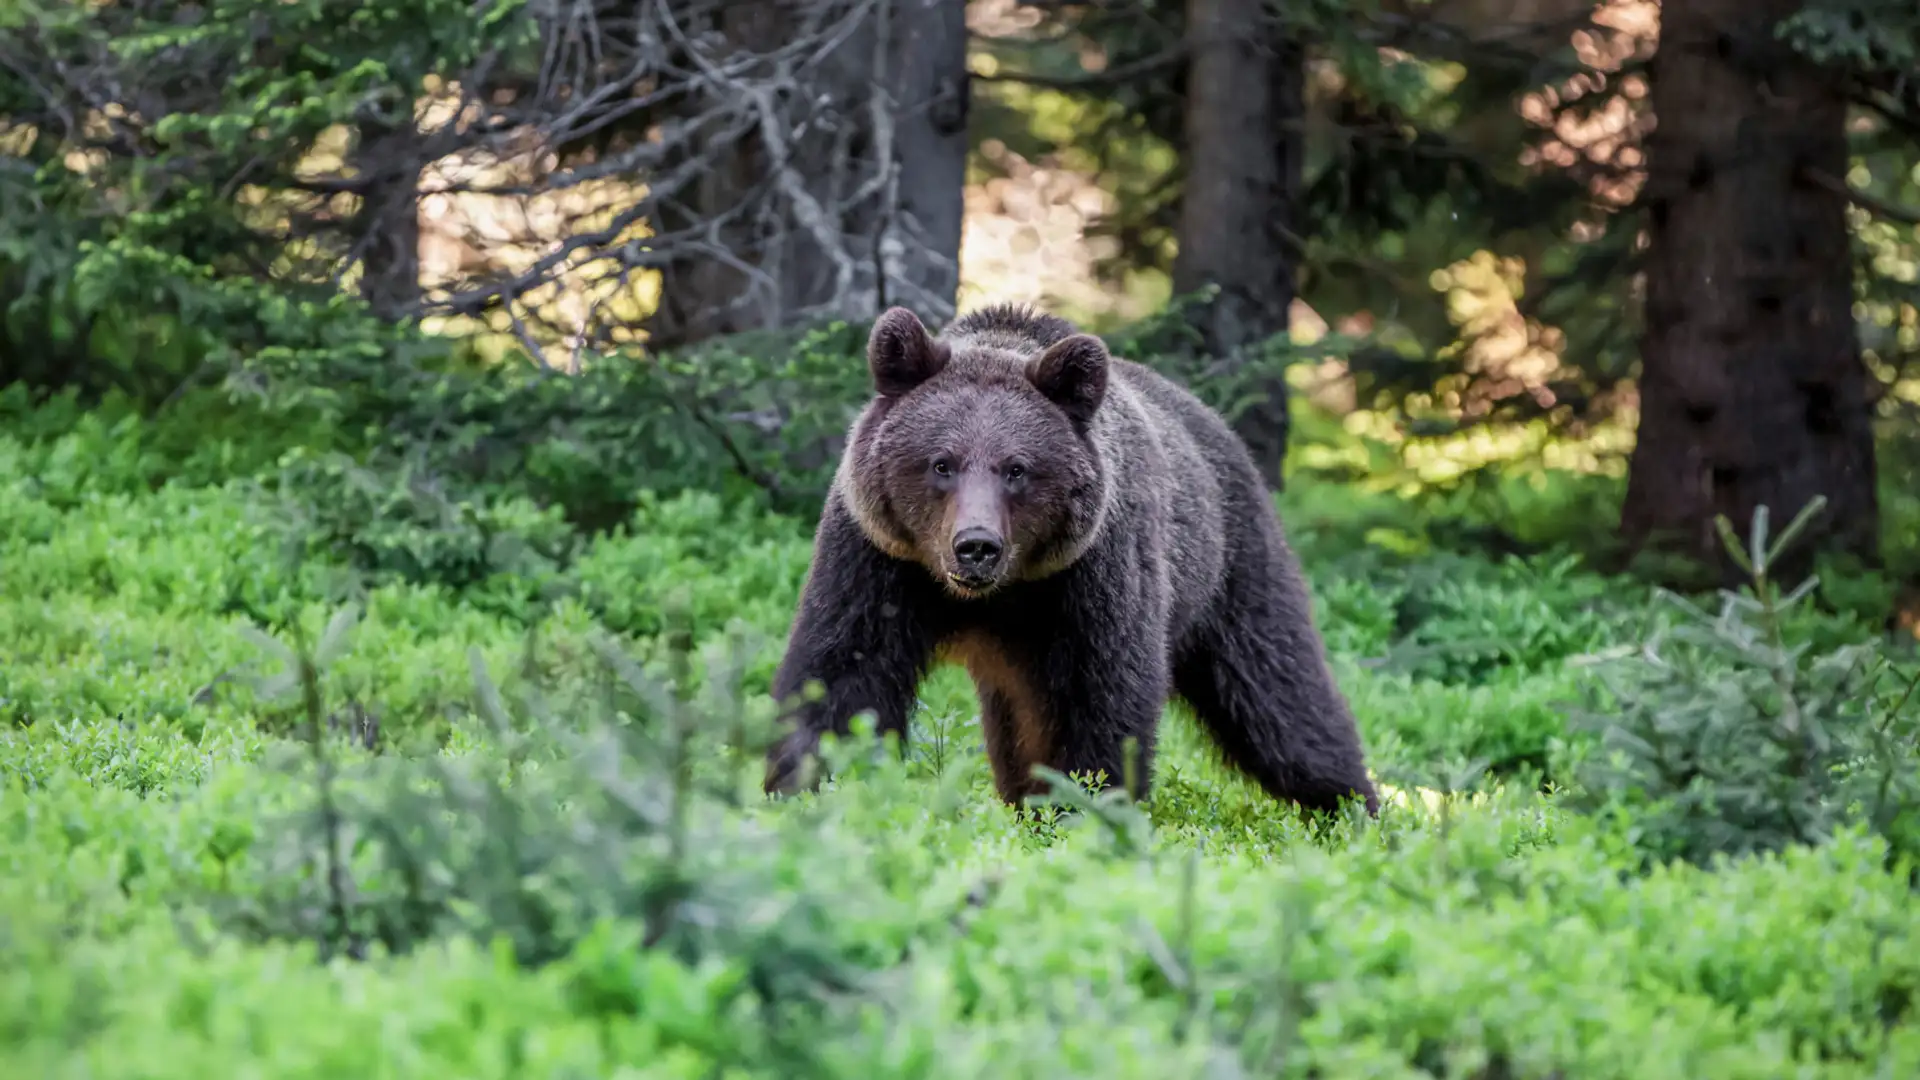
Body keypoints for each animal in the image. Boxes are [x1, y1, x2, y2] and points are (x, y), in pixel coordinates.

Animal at [761, 302, 1380, 817]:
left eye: (1017, 468)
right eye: (941, 463)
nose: (976, 545)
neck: (996, 594)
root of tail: (1215, 422)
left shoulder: (1091, 575)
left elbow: (1101, 700)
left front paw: (1083, 811)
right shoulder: (880, 558)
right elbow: (844, 675)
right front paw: (805, 790)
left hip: (1232, 565)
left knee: (1280, 697)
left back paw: (1354, 810)